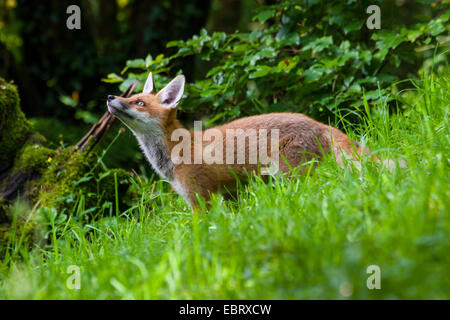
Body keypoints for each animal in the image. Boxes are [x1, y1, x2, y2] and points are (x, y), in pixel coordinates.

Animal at [109, 72, 386, 208]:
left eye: (139, 103)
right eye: (131, 97)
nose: (111, 97)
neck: (176, 150)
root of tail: (319, 123)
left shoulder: (200, 196)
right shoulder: (229, 195)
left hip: (291, 174)